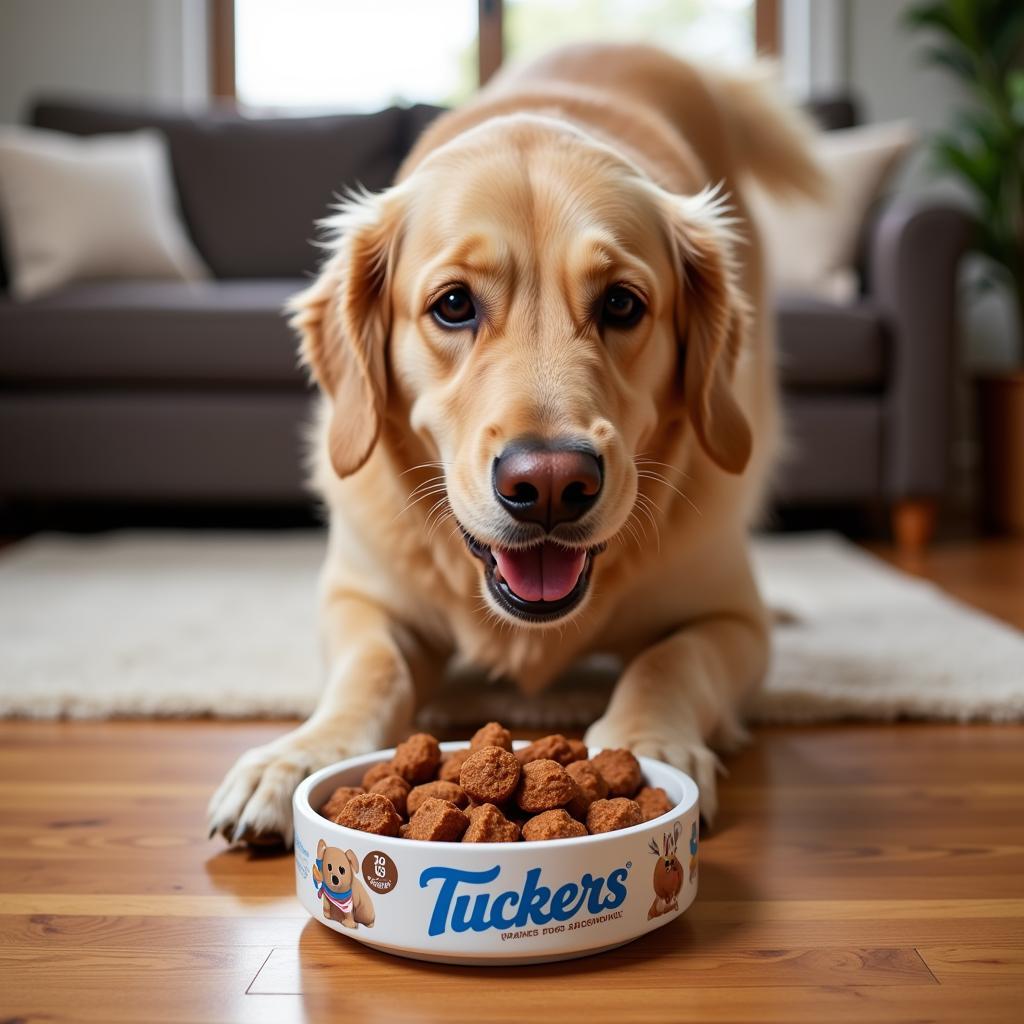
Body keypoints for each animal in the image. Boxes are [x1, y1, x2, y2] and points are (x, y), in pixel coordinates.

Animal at [205, 41, 823, 847]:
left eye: (622, 303)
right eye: (453, 304)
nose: (551, 484)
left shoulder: (732, 619)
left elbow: (670, 660)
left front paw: (647, 743)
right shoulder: (356, 596)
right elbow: (372, 669)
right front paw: (296, 756)